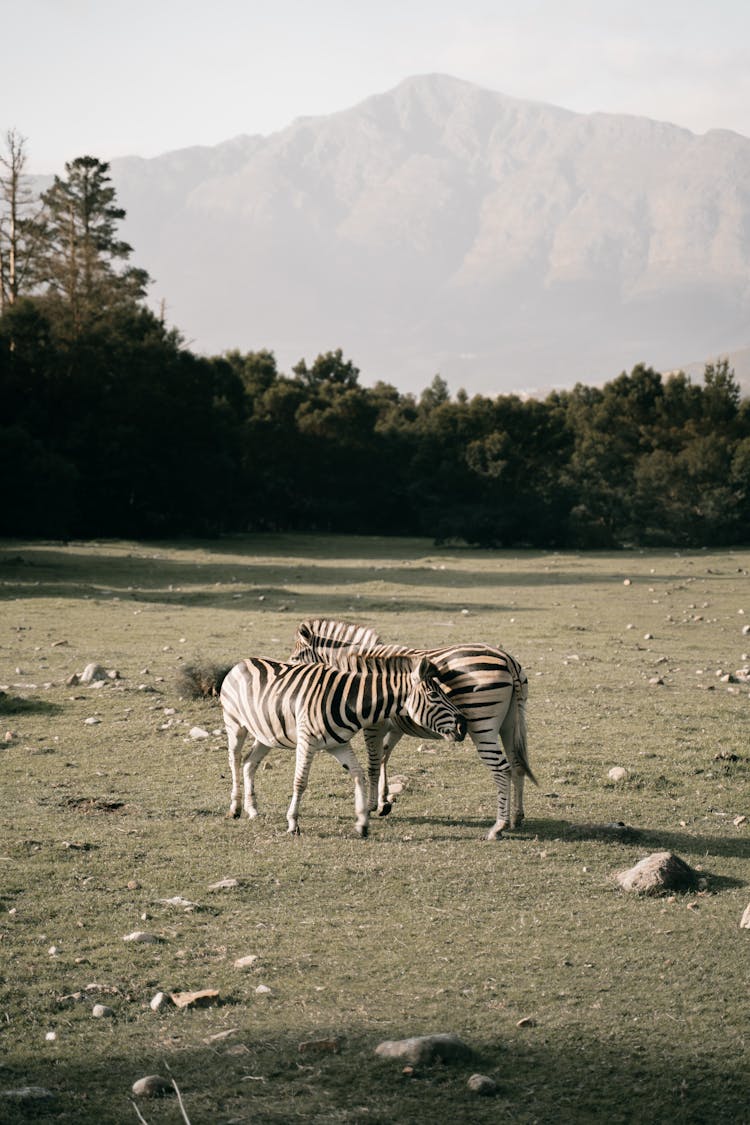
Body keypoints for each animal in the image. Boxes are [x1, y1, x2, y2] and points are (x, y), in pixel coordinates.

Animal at [218, 652, 463, 837]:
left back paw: (252, 809)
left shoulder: (339, 744)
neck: (349, 701)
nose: (463, 725)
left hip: (266, 735)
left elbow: (358, 774)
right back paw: (235, 808)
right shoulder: (307, 740)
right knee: (235, 761)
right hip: (235, 724)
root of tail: (242, 662)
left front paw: (362, 822)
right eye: (433, 695)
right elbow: (300, 782)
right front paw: (293, 823)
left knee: (249, 763)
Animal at [290, 621, 532, 841]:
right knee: (517, 765)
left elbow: (374, 764)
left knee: (502, 769)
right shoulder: (395, 727)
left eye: (294, 658)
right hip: (510, 725)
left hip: (482, 726)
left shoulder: (373, 725)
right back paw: (516, 817)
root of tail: (507, 659)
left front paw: (371, 805)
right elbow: (384, 757)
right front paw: (384, 801)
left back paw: (498, 826)